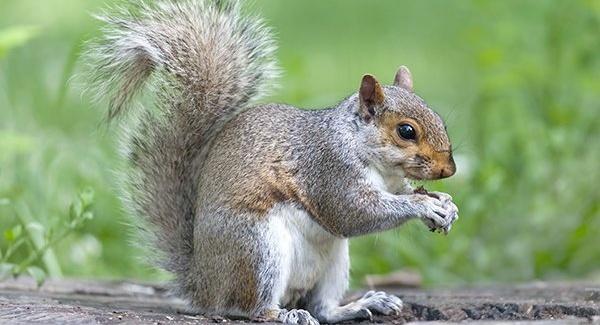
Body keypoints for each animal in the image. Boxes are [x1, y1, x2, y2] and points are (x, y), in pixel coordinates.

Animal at [83, 0, 460, 322]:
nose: (449, 170)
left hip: (334, 261)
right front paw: (423, 205)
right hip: (257, 249)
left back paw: (360, 305)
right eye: (406, 131)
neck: (376, 160)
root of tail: (204, 286)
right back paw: (284, 314)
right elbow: (353, 212)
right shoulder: (328, 169)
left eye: (439, 119)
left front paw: (445, 203)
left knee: (323, 309)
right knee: (249, 308)